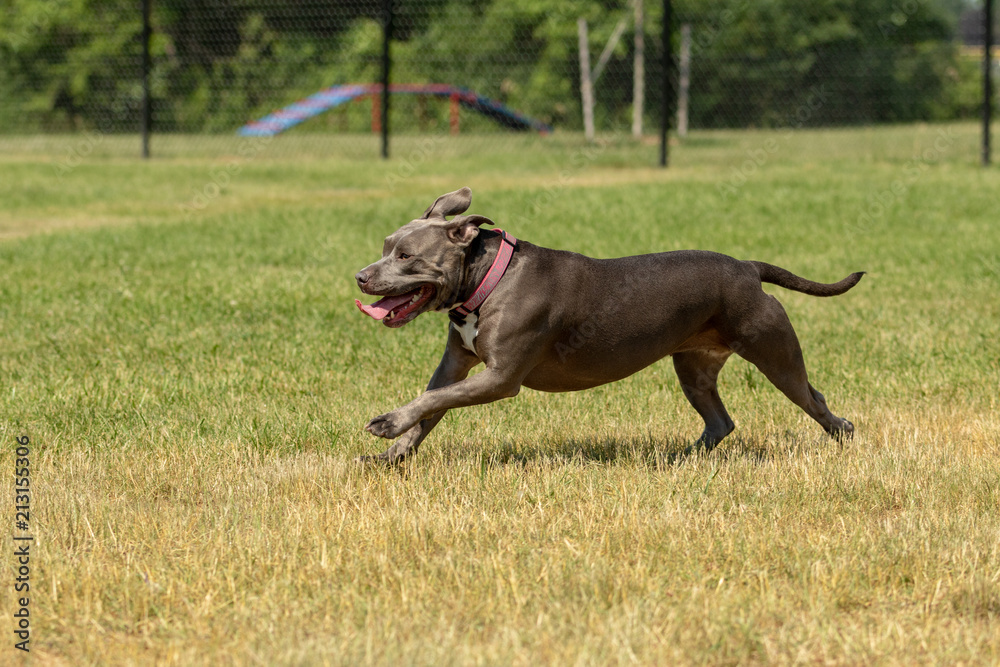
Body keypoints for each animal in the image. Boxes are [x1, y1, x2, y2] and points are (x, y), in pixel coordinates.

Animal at [356, 185, 864, 462]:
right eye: (385, 246)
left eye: (406, 256)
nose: (361, 276)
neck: (487, 279)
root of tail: (747, 267)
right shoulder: (456, 365)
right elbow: (430, 406)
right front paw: (394, 452)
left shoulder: (500, 378)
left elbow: (432, 401)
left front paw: (388, 423)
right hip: (694, 367)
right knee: (720, 422)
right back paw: (679, 460)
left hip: (775, 353)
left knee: (814, 400)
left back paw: (843, 433)